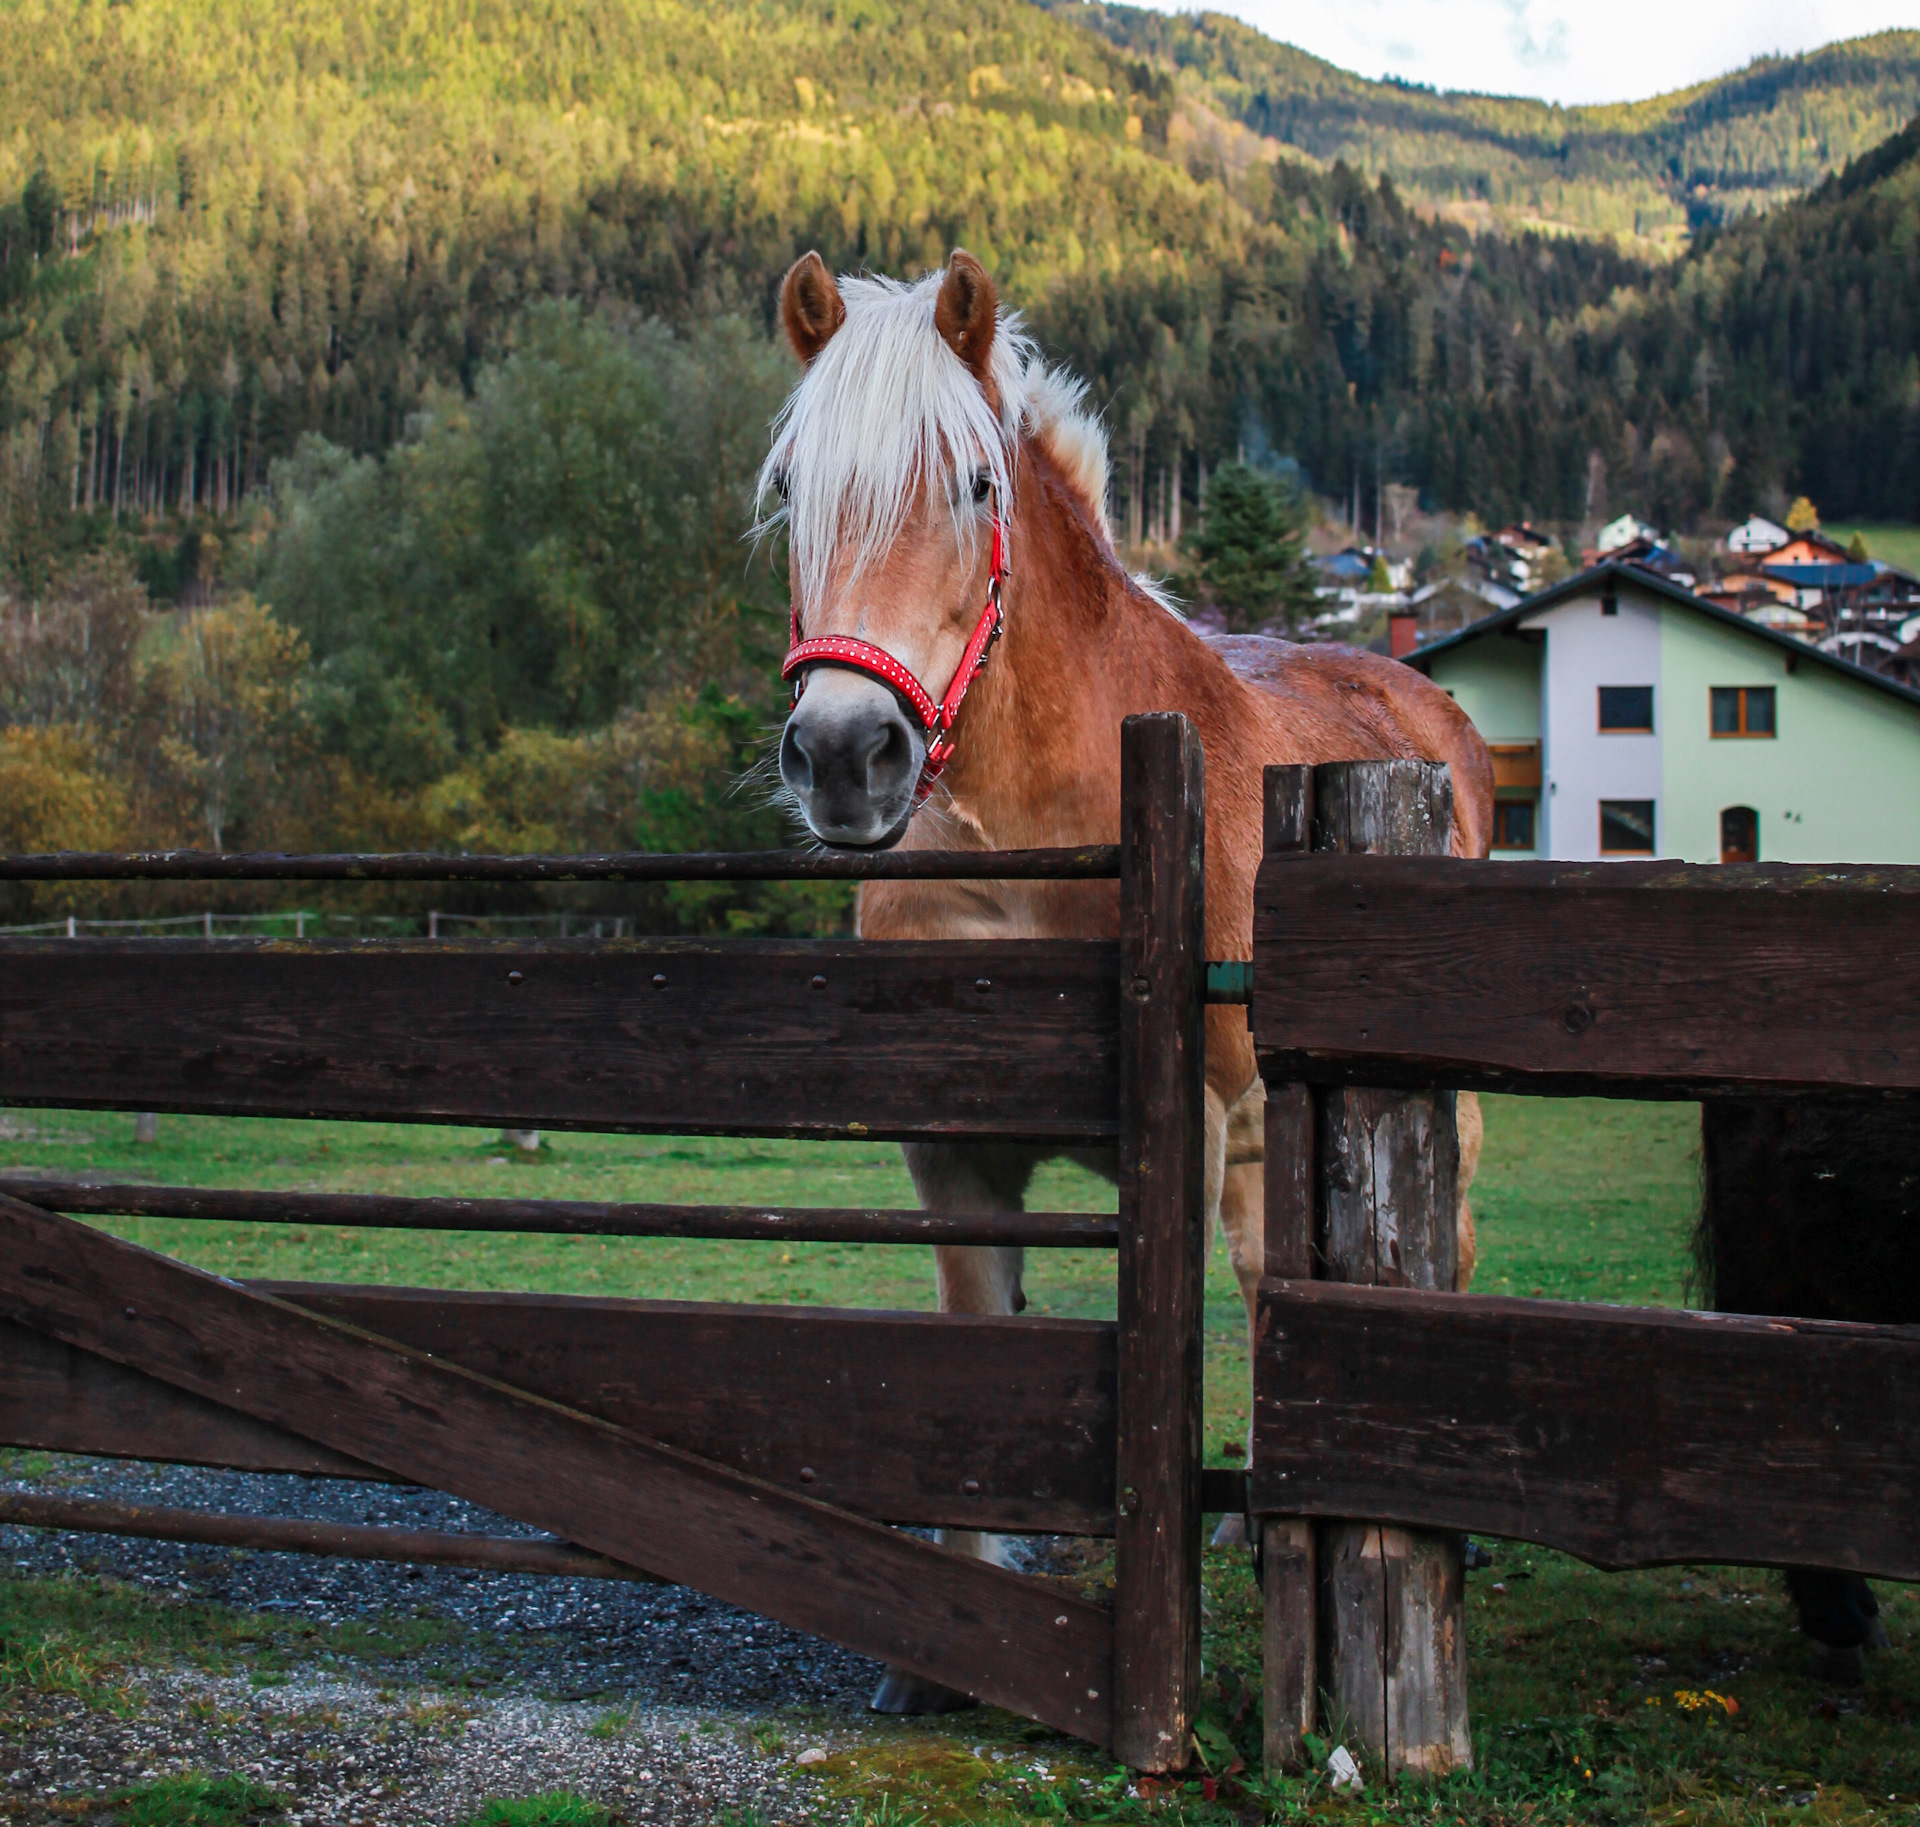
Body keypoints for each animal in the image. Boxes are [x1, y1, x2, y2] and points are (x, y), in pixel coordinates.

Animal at [764, 253, 1497, 1711]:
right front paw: (950, 1642)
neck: (1037, 828)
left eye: (972, 485)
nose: (847, 753)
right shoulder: (955, 1146)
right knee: (1277, 1280)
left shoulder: (1189, 1132)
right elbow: (980, 1334)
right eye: (800, 488)